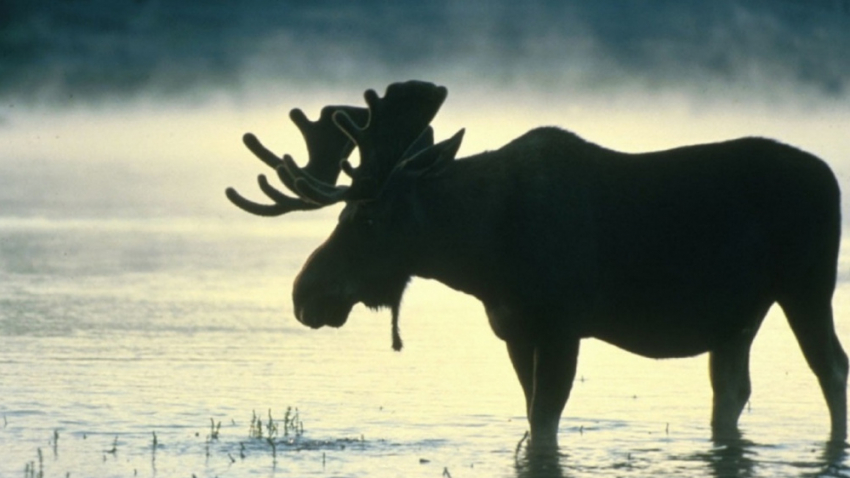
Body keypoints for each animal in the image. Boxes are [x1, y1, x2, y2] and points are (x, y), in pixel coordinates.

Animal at [229, 79, 844, 448]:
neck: (479, 253)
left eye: (370, 218)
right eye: (345, 214)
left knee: (831, 366)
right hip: (738, 318)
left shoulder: (561, 325)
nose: (305, 294)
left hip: (806, 286)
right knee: (731, 392)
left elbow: (546, 422)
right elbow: (531, 418)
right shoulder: (514, 330)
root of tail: (832, 178)